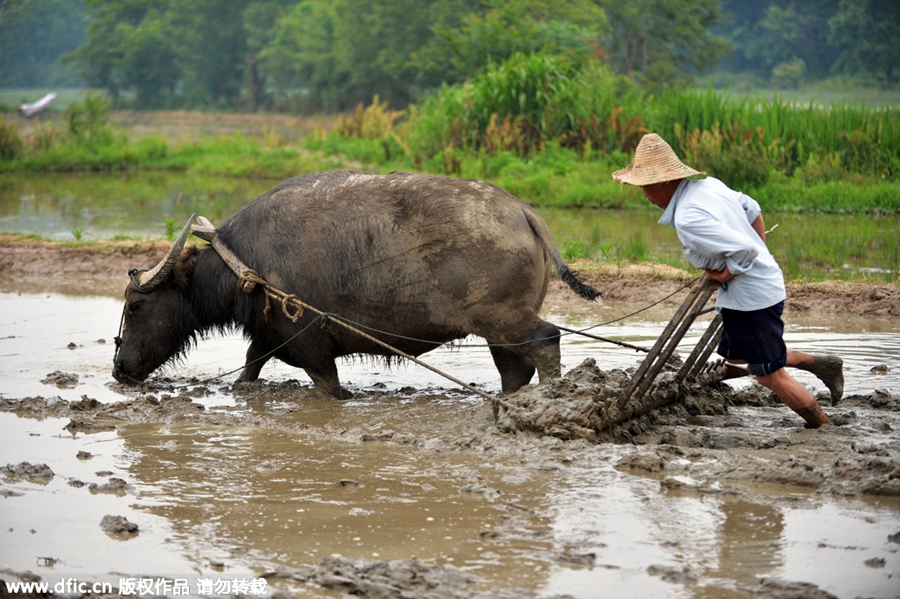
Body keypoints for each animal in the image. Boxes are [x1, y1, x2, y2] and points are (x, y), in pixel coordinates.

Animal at [116, 171, 600, 400]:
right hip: (498, 329)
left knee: (547, 340)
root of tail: (521, 210)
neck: (248, 266)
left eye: (137, 306)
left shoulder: (312, 348)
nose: (120, 368)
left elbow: (329, 387)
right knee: (516, 369)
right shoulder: (270, 337)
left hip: (504, 319)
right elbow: (248, 370)